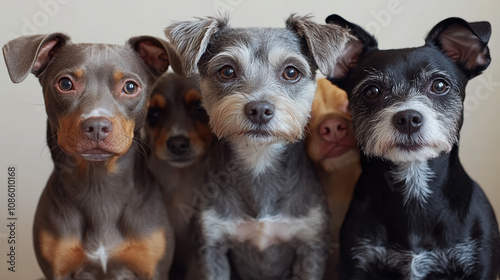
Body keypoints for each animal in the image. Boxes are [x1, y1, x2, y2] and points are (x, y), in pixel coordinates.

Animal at [2, 32, 176, 278]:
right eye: (65, 84)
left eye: (130, 87)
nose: (97, 126)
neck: (99, 182)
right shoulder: (57, 270)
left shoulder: (154, 270)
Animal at [165, 15, 352, 280]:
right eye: (227, 71)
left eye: (291, 71)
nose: (260, 109)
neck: (259, 159)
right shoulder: (212, 245)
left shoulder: (310, 245)